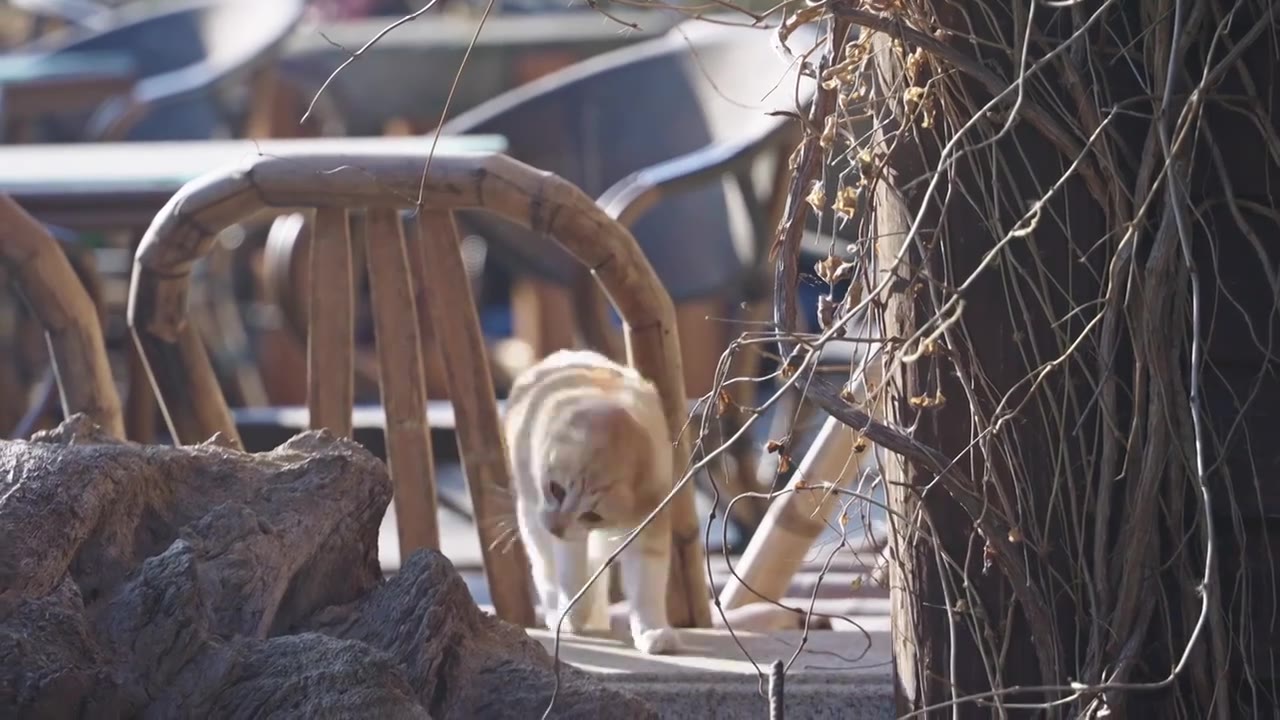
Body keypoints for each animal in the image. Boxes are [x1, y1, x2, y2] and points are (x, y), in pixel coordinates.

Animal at [499, 348, 680, 655]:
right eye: (556, 489)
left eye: (592, 515)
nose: (556, 527)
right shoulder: (565, 536)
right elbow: (571, 575)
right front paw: (571, 615)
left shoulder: (648, 525)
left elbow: (647, 585)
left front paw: (652, 631)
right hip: (530, 513)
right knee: (546, 567)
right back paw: (561, 612)